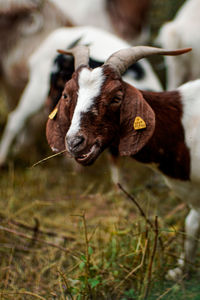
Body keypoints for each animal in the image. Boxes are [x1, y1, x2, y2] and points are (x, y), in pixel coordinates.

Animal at [46, 44, 200, 278]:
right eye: (66, 95)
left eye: (116, 98)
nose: (74, 142)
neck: (182, 129)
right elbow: (191, 224)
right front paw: (181, 271)